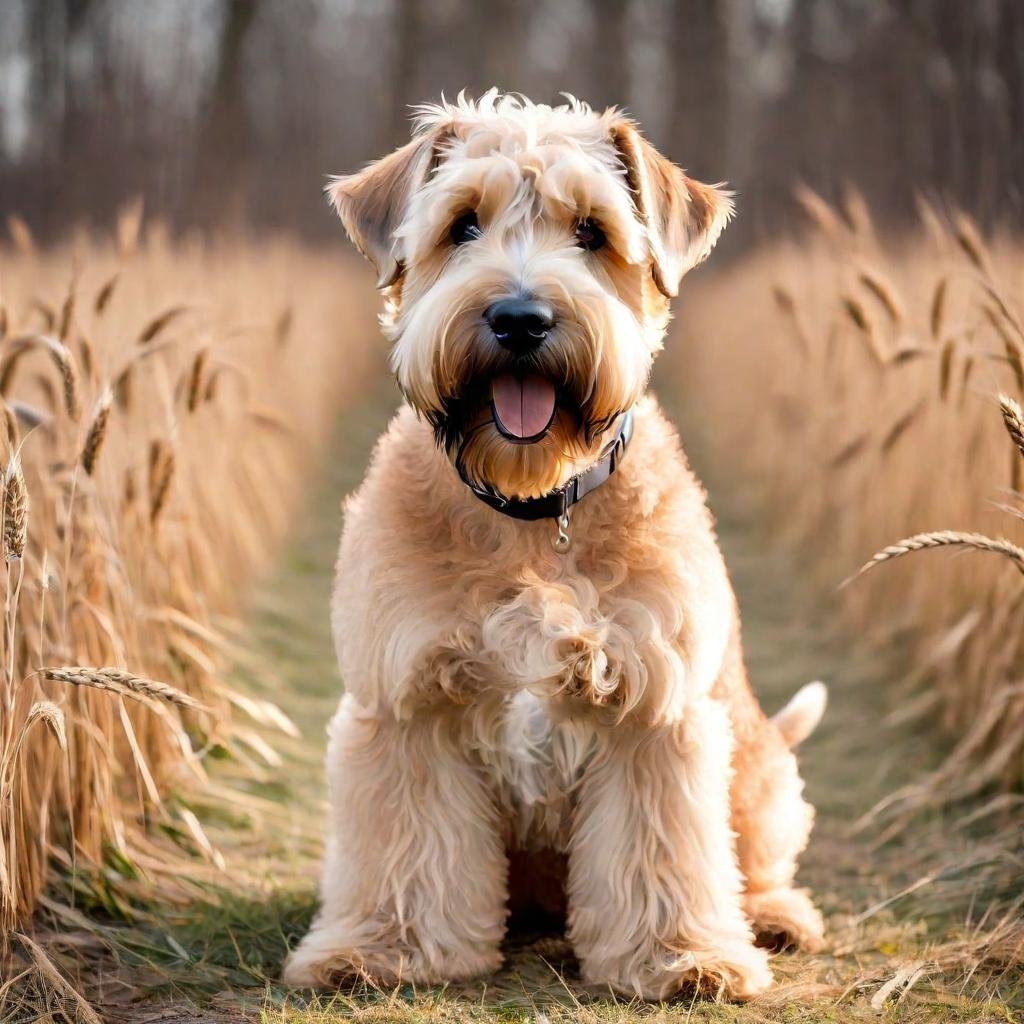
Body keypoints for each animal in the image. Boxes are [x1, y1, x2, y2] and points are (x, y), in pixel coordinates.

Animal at [284, 90, 827, 999]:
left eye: (592, 231)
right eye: (463, 224)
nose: (520, 318)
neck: (531, 511)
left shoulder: (655, 711)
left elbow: (660, 856)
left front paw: (679, 957)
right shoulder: (407, 707)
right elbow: (408, 852)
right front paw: (388, 950)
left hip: (761, 778)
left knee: (756, 865)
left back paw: (776, 918)